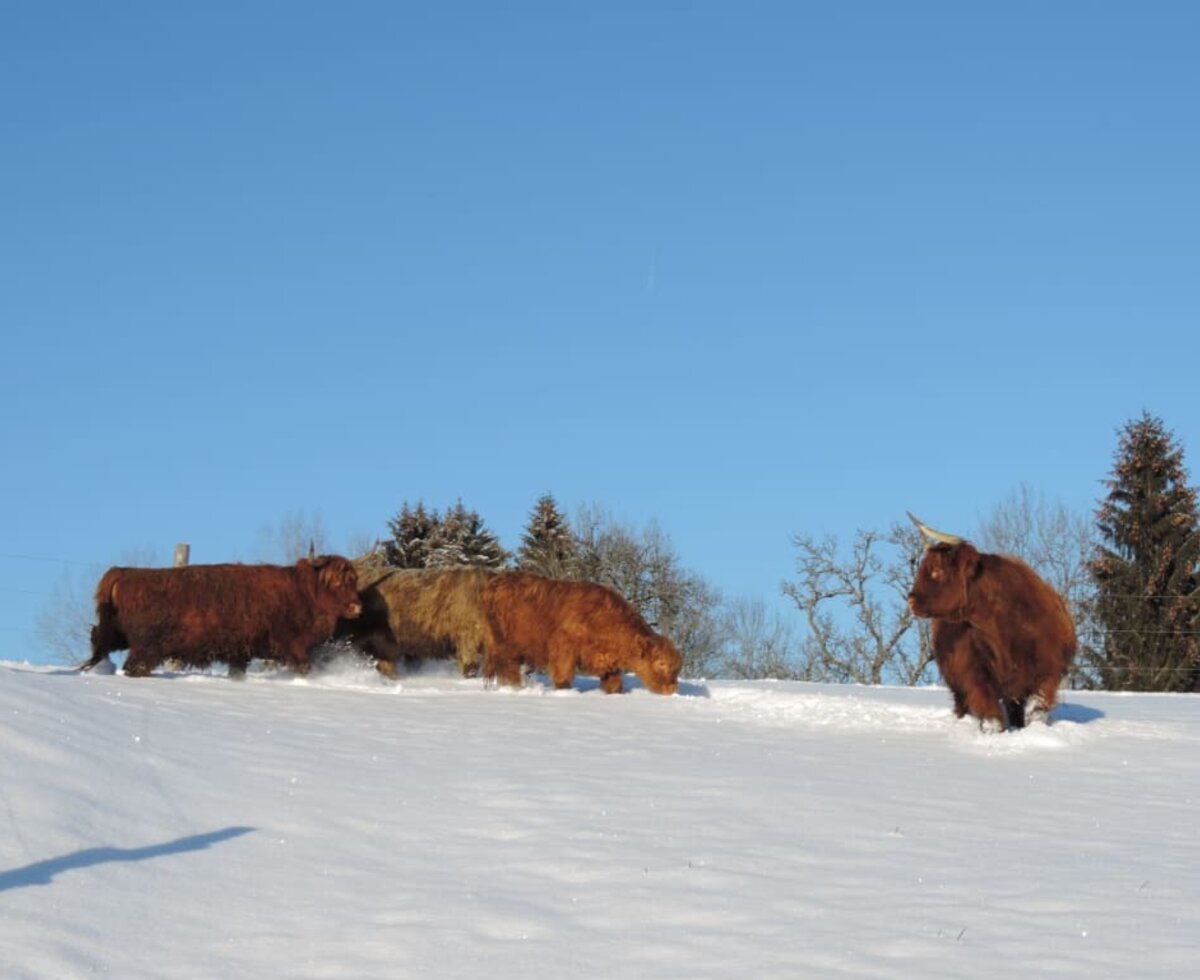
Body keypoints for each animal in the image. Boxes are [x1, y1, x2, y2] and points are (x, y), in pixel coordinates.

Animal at [80, 554, 360, 676]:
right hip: (146, 650)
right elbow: (304, 667)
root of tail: (123, 571)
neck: (300, 591)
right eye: (335, 582)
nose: (358, 607)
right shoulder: (293, 646)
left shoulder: (240, 653)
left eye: (354, 580)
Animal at [480, 566, 686, 695]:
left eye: (677, 667)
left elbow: (615, 685)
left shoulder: (608, 662)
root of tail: (498, 580)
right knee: (509, 668)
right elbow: (563, 676)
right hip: (505, 644)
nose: (672, 688)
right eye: (660, 663)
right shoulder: (564, 648)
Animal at [907, 513, 1080, 724]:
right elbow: (992, 715)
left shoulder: (1047, 672)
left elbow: (1037, 710)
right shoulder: (975, 675)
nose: (911, 600)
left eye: (937, 571)